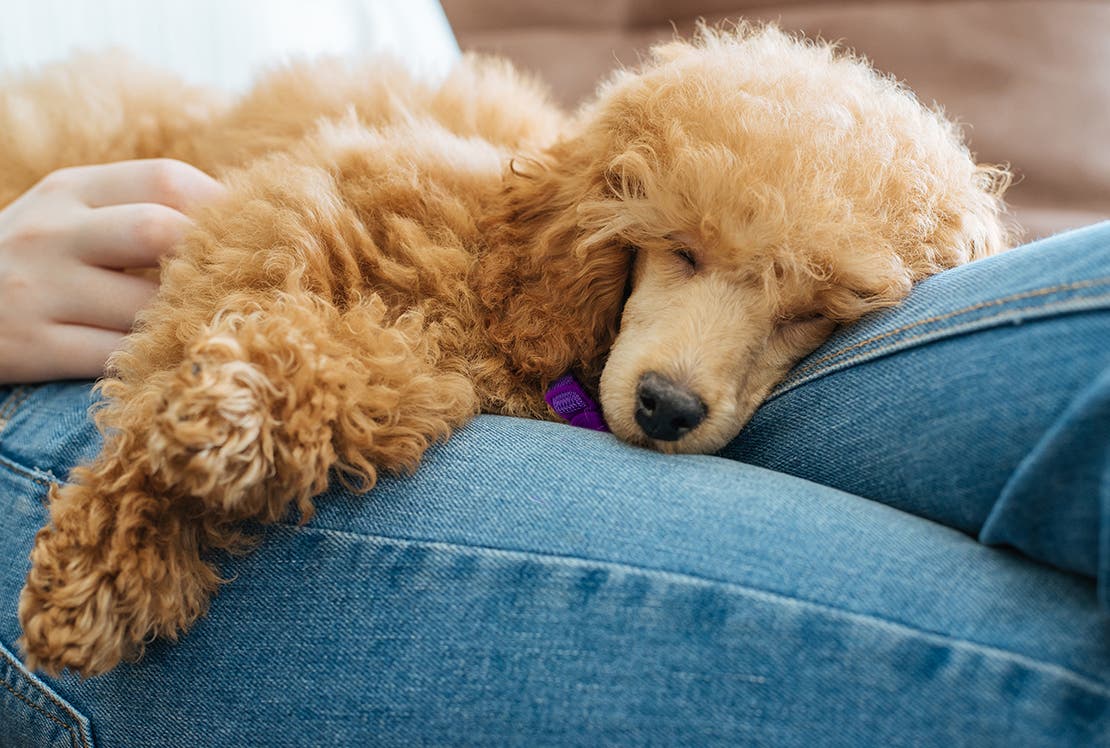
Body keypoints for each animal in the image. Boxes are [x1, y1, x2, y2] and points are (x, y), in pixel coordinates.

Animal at [0, 24, 1007, 674]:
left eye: (812, 313)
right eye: (681, 247)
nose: (668, 409)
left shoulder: (411, 366)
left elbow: (345, 379)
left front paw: (204, 461)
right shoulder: (287, 216)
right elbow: (174, 362)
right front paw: (115, 551)